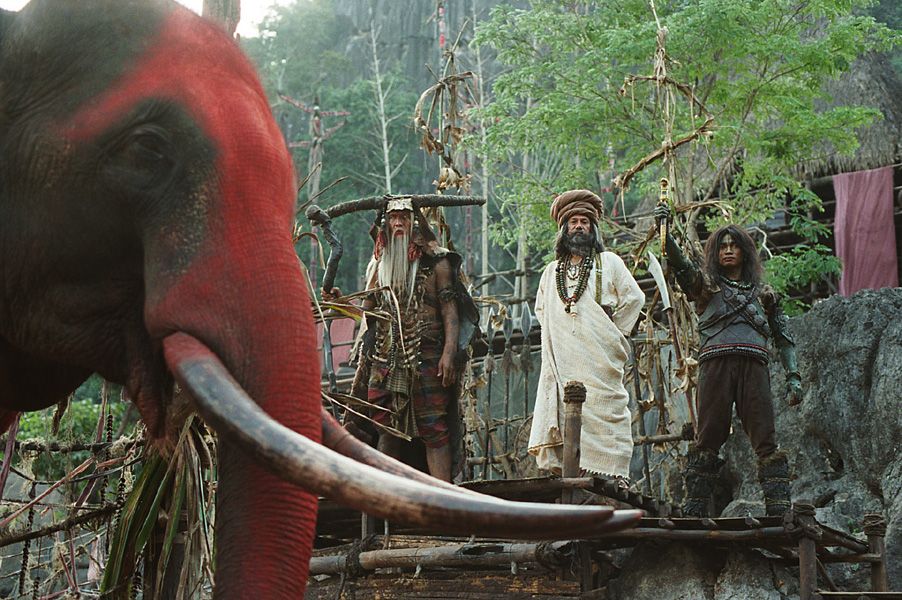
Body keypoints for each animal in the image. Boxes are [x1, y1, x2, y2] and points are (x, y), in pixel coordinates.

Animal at [0, 1, 641, 597]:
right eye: (146, 151)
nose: (398, 222)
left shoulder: (447, 277)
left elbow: (453, 315)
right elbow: (345, 306)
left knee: (432, 431)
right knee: (389, 433)